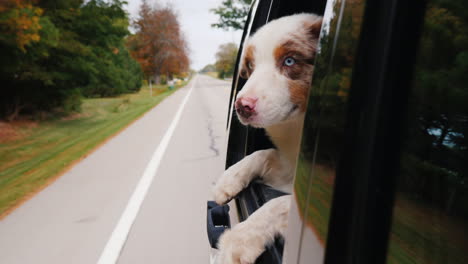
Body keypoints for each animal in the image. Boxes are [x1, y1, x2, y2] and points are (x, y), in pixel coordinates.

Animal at [212, 13, 322, 264]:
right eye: (251, 66)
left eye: (289, 61)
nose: (242, 106)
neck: (298, 125)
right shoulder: (289, 166)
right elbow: (264, 153)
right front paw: (228, 179)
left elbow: (278, 204)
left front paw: (237, 240)